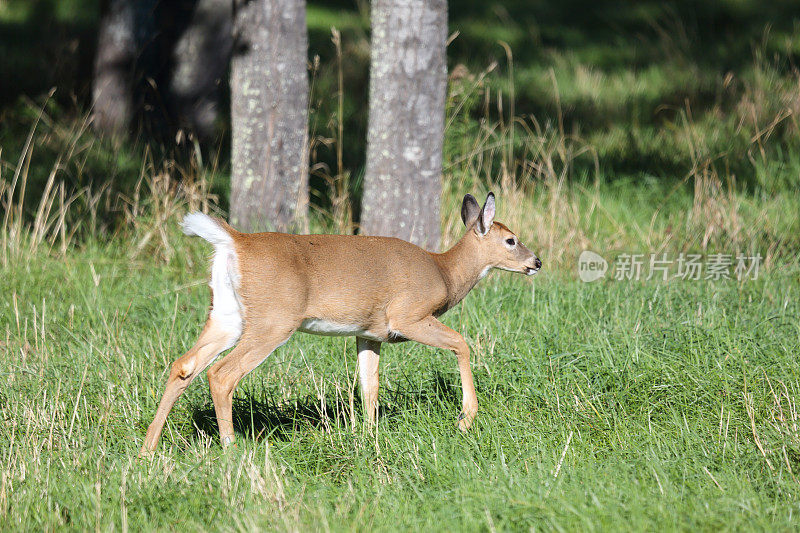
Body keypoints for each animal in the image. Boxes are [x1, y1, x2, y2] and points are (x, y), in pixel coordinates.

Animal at [142, 191, 544, 454]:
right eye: (511, 240)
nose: (536, 262)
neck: (444, 272)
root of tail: (235, 241)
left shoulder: (370, 334)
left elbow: (369, 385)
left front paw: (368, 435)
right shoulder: (408, 314)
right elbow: (462, 343)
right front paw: (465, 418)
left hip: (226, 314)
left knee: (184, 365)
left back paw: (148, 449)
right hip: (274, 320)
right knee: (221, 374)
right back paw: (231, 449)